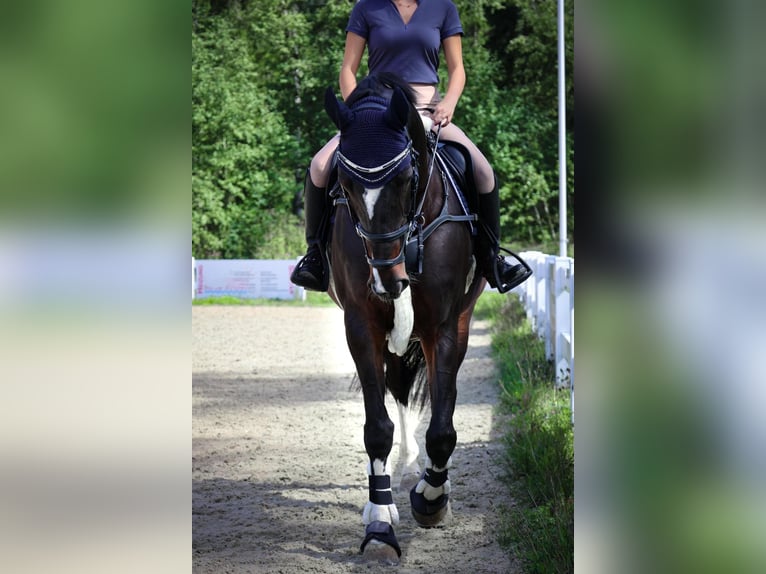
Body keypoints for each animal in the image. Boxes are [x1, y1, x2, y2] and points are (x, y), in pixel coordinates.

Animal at [324, 74, 486, 564]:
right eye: (343, 183)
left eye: (406, 177)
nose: (387, 278)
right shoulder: (361, 325)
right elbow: (377, 426)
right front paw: (379, 524)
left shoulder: (444, 326)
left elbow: (443, 426)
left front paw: (430, 500)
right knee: (394, 392)